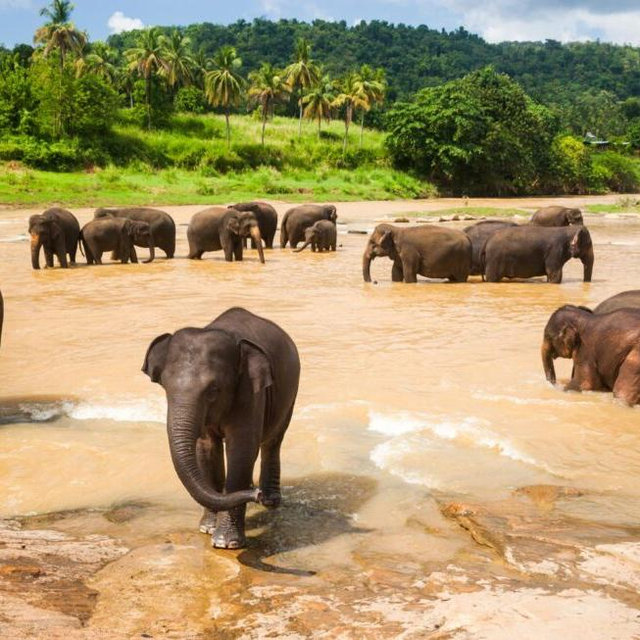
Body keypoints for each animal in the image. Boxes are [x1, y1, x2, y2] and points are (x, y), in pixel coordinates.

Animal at [142, 307, 300, 549]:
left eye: (213, 389)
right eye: (165, 386)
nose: (256, 495)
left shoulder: (250, 392)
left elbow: (241, 449)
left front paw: (226, 543)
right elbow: (207, 451)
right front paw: (207, 529)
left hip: (291, 391)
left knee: (273, 441)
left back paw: (270, 501)